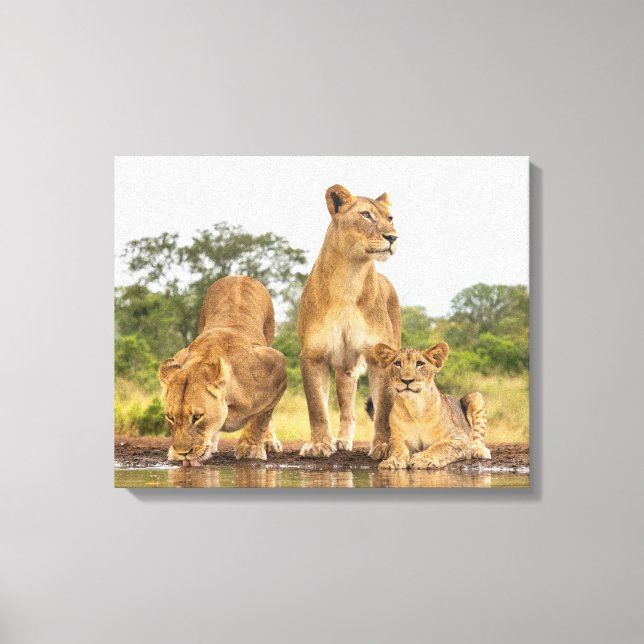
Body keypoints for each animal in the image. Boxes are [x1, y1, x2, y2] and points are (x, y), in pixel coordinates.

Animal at [158, 276, 287, 467]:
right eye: (171, 418)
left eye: (197, 417)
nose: (183, 453)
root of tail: (239, 276)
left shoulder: (277, 365)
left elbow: (262, 416)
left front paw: (250, 449)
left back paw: (269, 442)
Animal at [297, 184, 401, 459]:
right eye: (366, 215)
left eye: (390, 218)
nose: (393, 238)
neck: (349, 277)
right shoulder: (313, 355)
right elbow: (317, 408)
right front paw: (319, 444)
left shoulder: (380, 356)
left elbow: (384, 410)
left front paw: (383, 446)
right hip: (345, 369)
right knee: (348, 411)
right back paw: (341, 441)